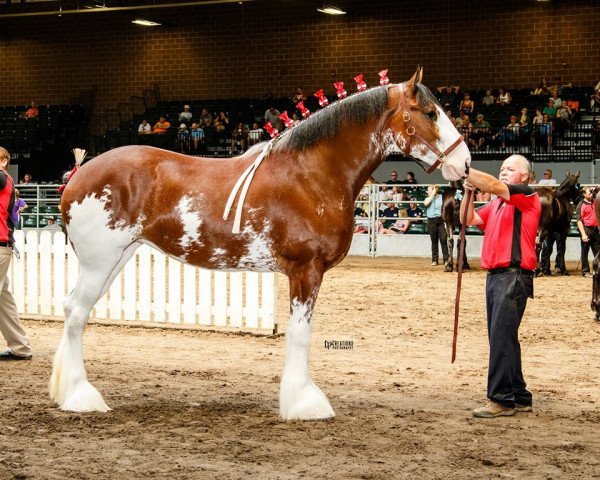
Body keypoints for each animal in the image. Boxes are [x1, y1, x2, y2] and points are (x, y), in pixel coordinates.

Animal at [50, 67, 474, 420]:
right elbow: (300, 334)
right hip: (100, 263)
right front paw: (304, 404)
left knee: (75, 311)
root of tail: (77, 175)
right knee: (75, 314)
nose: (466, 164)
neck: (311, 173)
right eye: (430, 113)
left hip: (115, 260)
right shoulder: (306, 270)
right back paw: (81, 397)